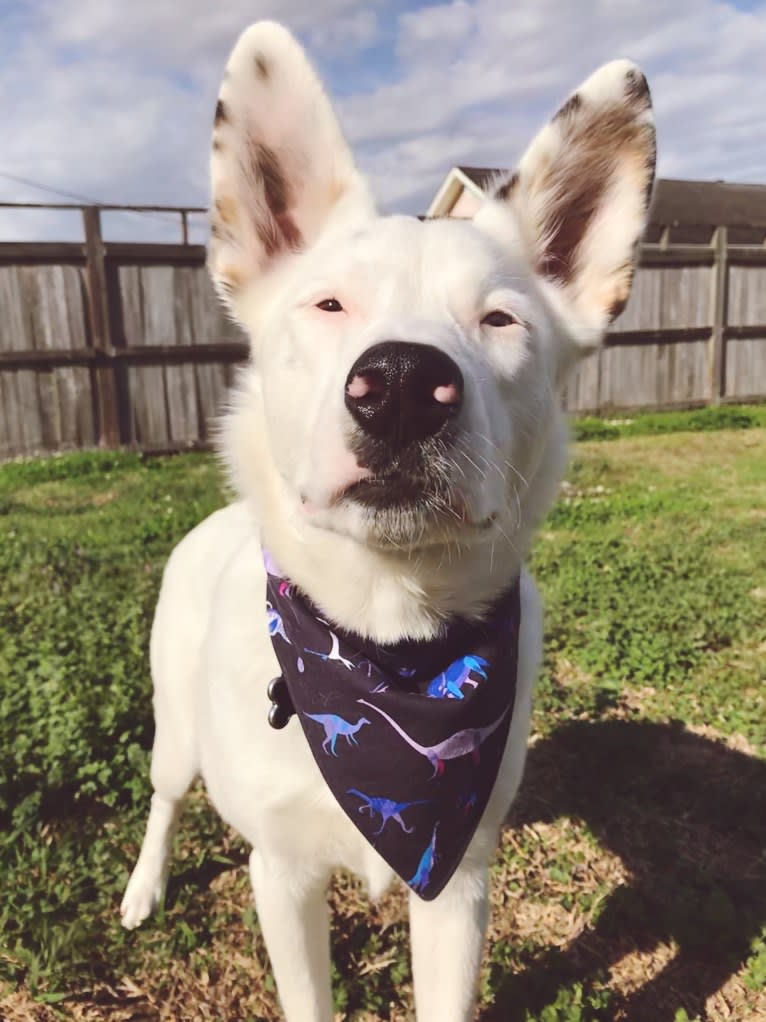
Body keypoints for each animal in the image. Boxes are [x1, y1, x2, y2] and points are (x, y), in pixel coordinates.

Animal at [121, 24, 661, 1021]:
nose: (405, 384)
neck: (387, 642)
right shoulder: (283, 877)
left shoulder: (460, 883)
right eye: (329, 304)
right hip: (175, 737)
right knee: (164, 799)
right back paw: (144, 886)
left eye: (500, 320)